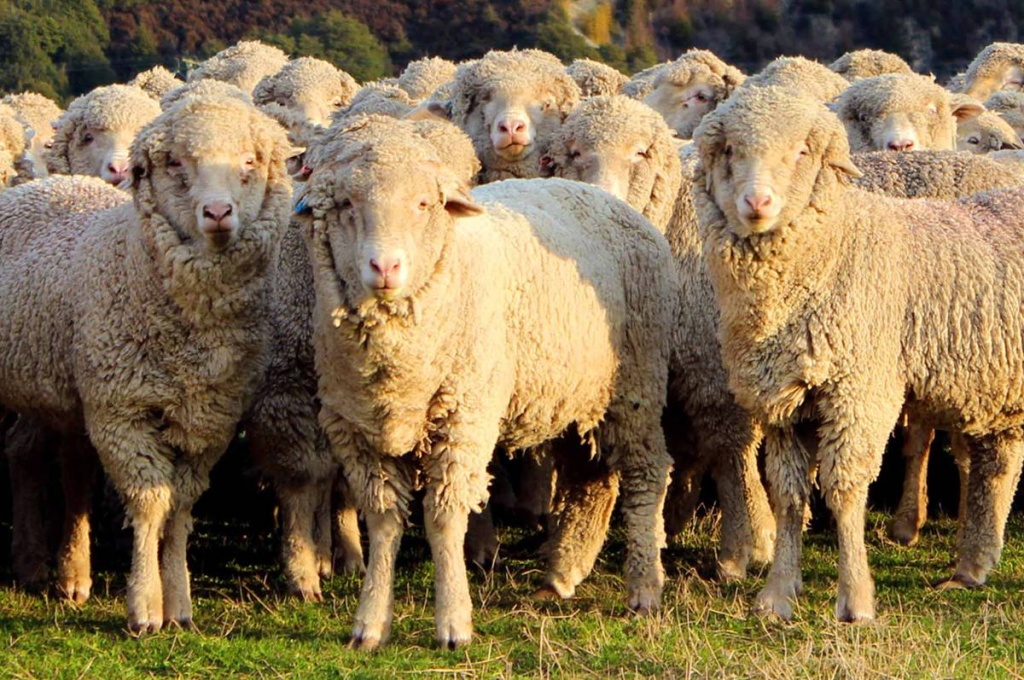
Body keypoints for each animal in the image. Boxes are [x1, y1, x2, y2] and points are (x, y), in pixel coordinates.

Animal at [0, 94, 296, 631]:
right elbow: (148, 501)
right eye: (175, 162)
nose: (217, 211)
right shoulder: (123, 413)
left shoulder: (208, 422)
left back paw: (64, 571)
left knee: (56, 465)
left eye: (249, 162)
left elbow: (179, 507)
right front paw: (143, 607)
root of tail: (39, 183)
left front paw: (179, 604)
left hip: (62, 392)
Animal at [298, 114, 677, 649]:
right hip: (576, 391)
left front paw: (454, 624)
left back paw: (644, 587)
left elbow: (443, 518)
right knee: (590, 478)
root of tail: (602, 195)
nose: (386, 267)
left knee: (646, 474)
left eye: (424, 204)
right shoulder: (359, 431)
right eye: (347, 204)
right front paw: (370, 623)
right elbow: (384, 521)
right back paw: (562, 573)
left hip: (637, 383)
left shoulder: (464, 417)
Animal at [693, 84, 1024, 622]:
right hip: (995, 383)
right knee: (997, 463)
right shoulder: (784, 401)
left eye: (801, 152)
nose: (757, 201)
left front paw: (855, 600)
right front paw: (777, 595)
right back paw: (971, 567)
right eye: (729, 151)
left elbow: (844, 490)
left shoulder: (858, 393)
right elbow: (788, 494)